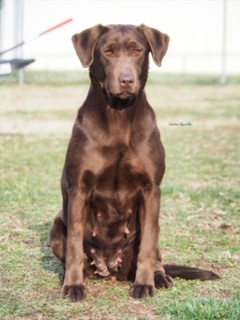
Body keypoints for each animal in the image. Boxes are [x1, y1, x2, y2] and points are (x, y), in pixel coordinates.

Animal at [49, 23, 220, 302]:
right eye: (108, 51)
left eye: (138, 51)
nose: (127, 80)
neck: (119, 115)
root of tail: (110, 267)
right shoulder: (79, 189)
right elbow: (74, 241)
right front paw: (73, 285)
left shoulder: (151, 190)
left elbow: (148, 245)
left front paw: (145, 284)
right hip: (55, 229)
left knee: (155, 250)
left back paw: (160, 276)